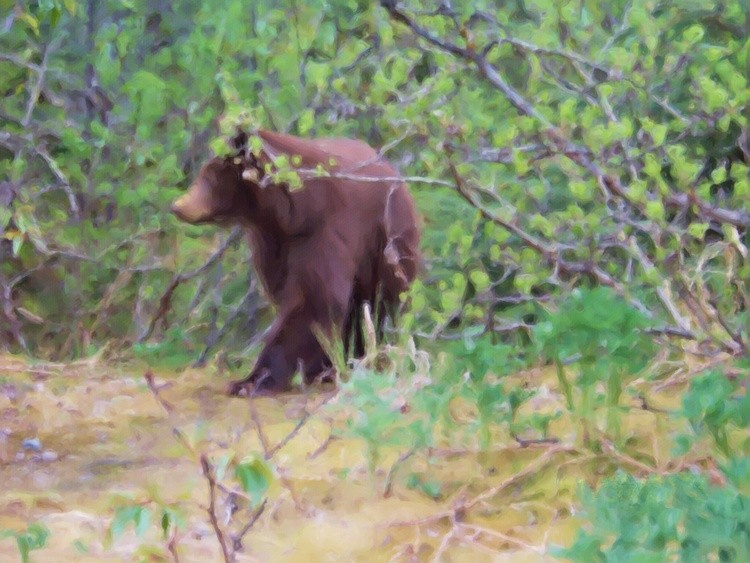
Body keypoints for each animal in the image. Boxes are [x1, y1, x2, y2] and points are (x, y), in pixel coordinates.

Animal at [172, 129, 424, 396]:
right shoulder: (272, 242)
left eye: (209, 176)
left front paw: (254, 380)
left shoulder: (325, 230)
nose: (176, 206)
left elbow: (314, 300)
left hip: (390, 241)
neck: (289, 214)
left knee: (385, 301)